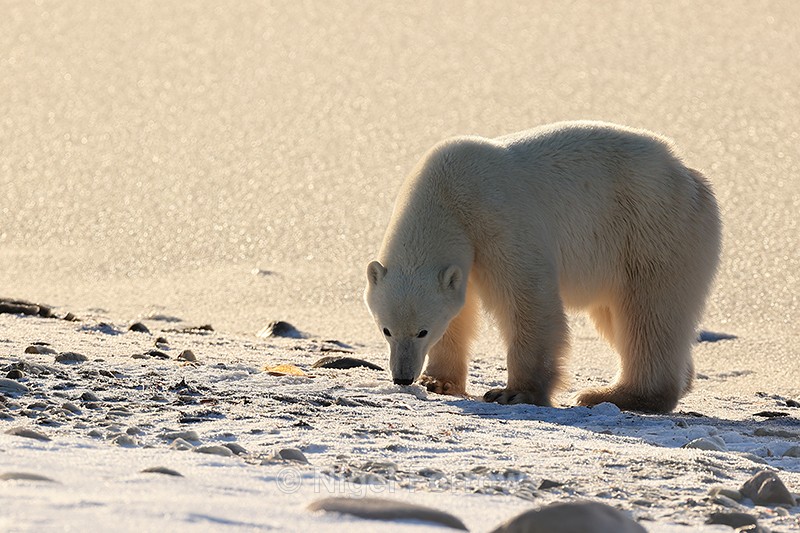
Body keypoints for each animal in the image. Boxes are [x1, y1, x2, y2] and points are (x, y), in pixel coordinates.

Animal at [364, 121, 721, 413]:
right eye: (386, 330)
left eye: (422, 331)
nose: (402, 377)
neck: (447, 191)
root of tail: (689, 175)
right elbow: (459, 311)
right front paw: (437, 381)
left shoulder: (499, 219)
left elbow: (526, 298)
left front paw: (513, 392)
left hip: (652, 229)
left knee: (649, 314)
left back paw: (614, 394)